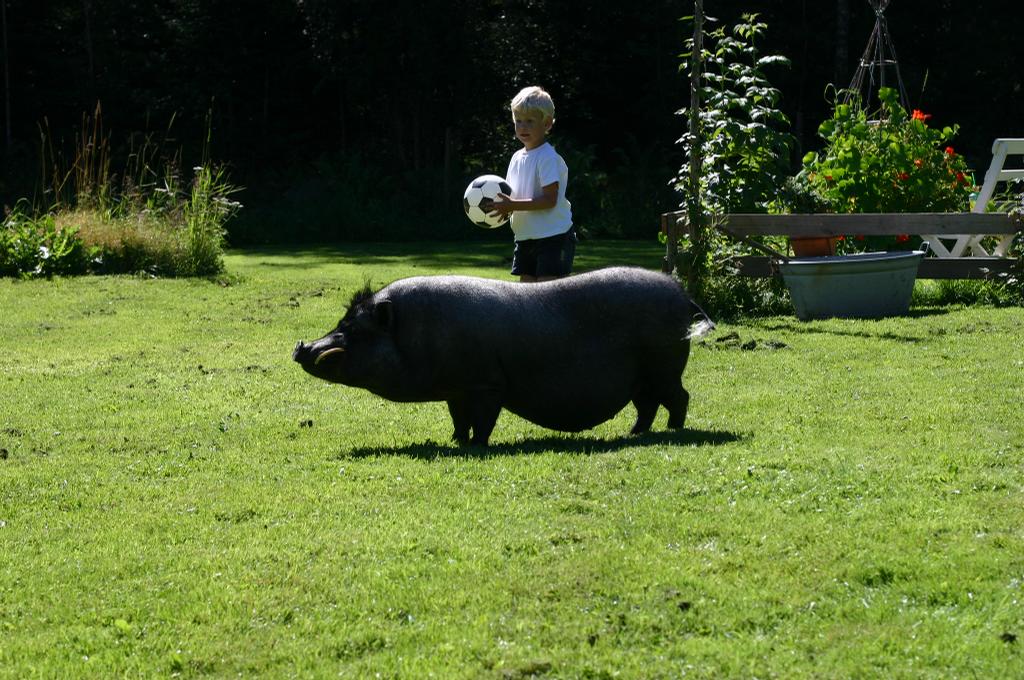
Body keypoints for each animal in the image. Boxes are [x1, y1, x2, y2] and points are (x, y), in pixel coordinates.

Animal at [292, 266, 713, 446]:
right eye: (341, 320)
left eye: (355, 329)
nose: (302, 347)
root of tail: (682, 294)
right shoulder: (456, 389)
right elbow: (458, 419)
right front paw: (455, 441)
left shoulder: (486, 384)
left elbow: (483, 421)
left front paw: (476, 446)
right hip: (643, 378)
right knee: (647, 406)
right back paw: (633, 433)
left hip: (664, 367)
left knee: (680, 397)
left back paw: (671, 432)